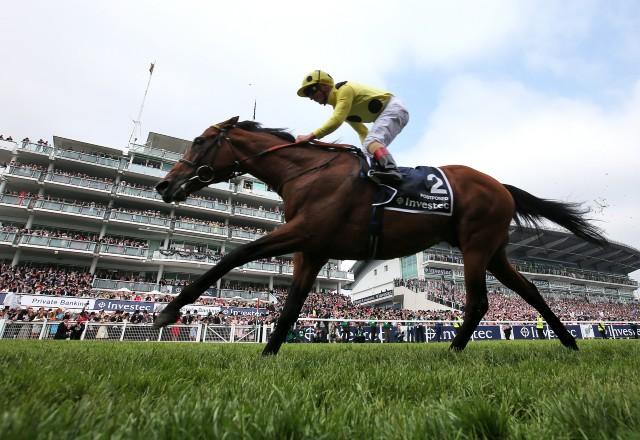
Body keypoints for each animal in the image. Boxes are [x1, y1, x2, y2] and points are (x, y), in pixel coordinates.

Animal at [154, 116, 604, 354]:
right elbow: (293, 304)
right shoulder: (311, 249)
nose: (164, 185)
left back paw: (453, 350)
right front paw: (268, 352)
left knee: (478, 301)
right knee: (530, 290)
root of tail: (502, 187)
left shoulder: (301, 232)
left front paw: (168, 310)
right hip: (494, 252)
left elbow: (234, 256)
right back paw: (570, 343)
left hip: (476, 247)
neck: (305, 173)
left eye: (199, 141)